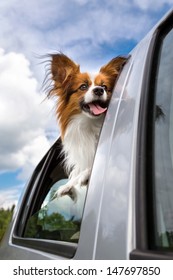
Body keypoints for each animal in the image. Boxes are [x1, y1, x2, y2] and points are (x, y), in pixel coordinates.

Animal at [48, 53, 126, 201]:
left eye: (104, 87)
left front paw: (85, 175)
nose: (99, 90)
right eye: (83, 87)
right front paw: (67, 186)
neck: (92, 124)